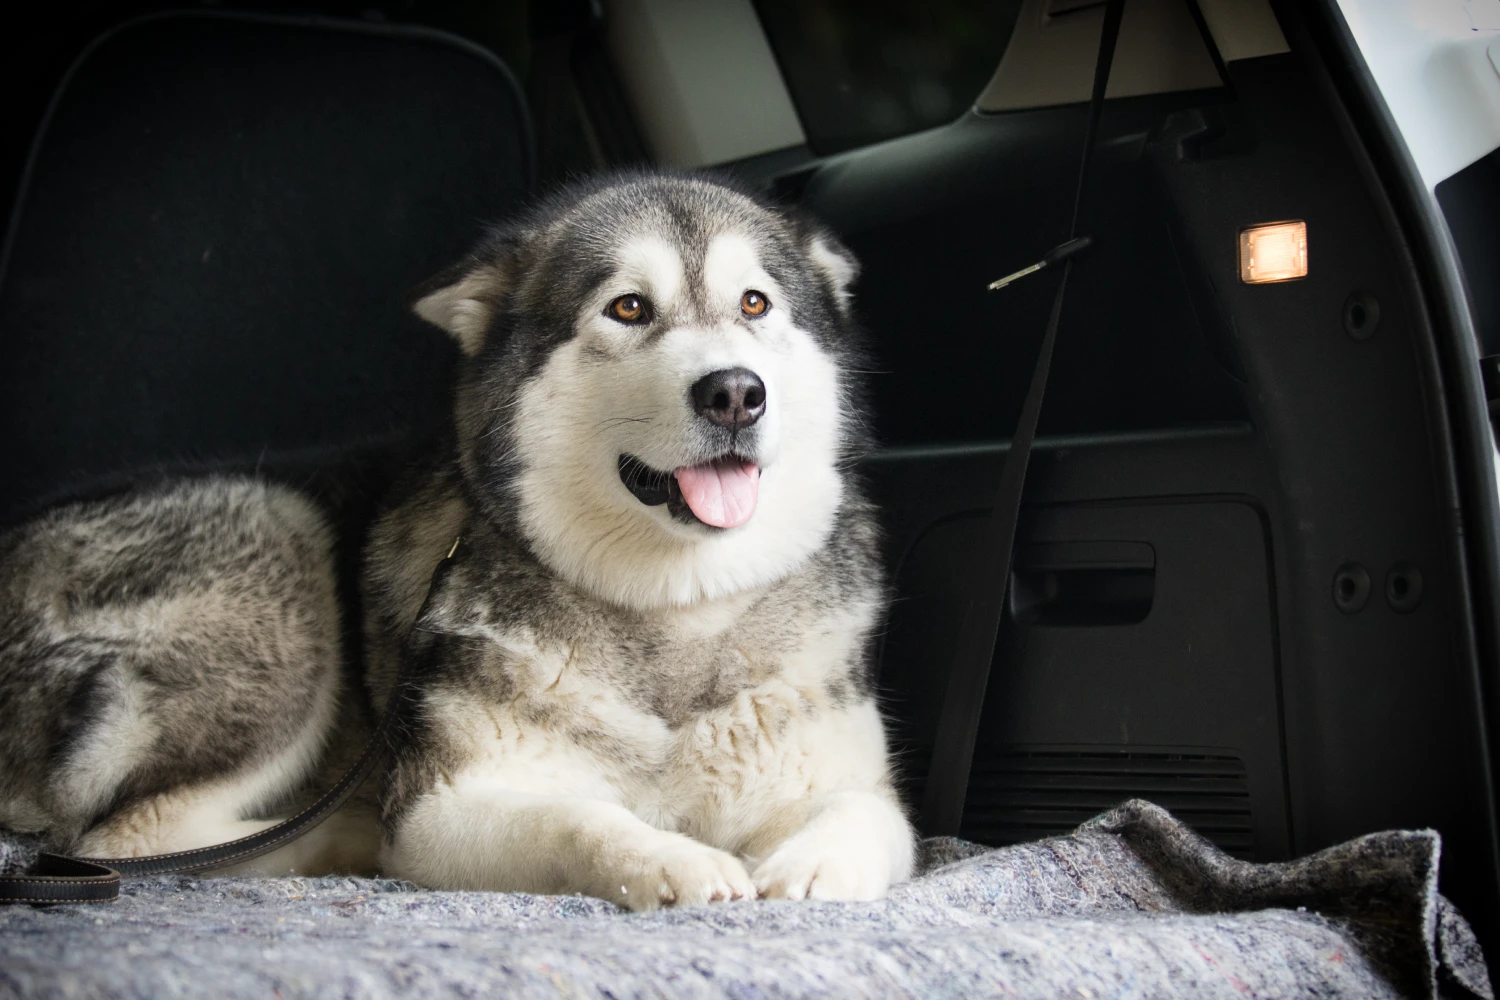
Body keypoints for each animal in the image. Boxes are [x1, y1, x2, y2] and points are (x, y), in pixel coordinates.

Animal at [364, 172, 918, 905]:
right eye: (628, 308)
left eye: (754, 302)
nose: (735, 393)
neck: (681, 603)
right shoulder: (431, 816)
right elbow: (575, 819)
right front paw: (669, 860)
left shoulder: (848, 782)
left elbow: (859, 810)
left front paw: (812, 867)